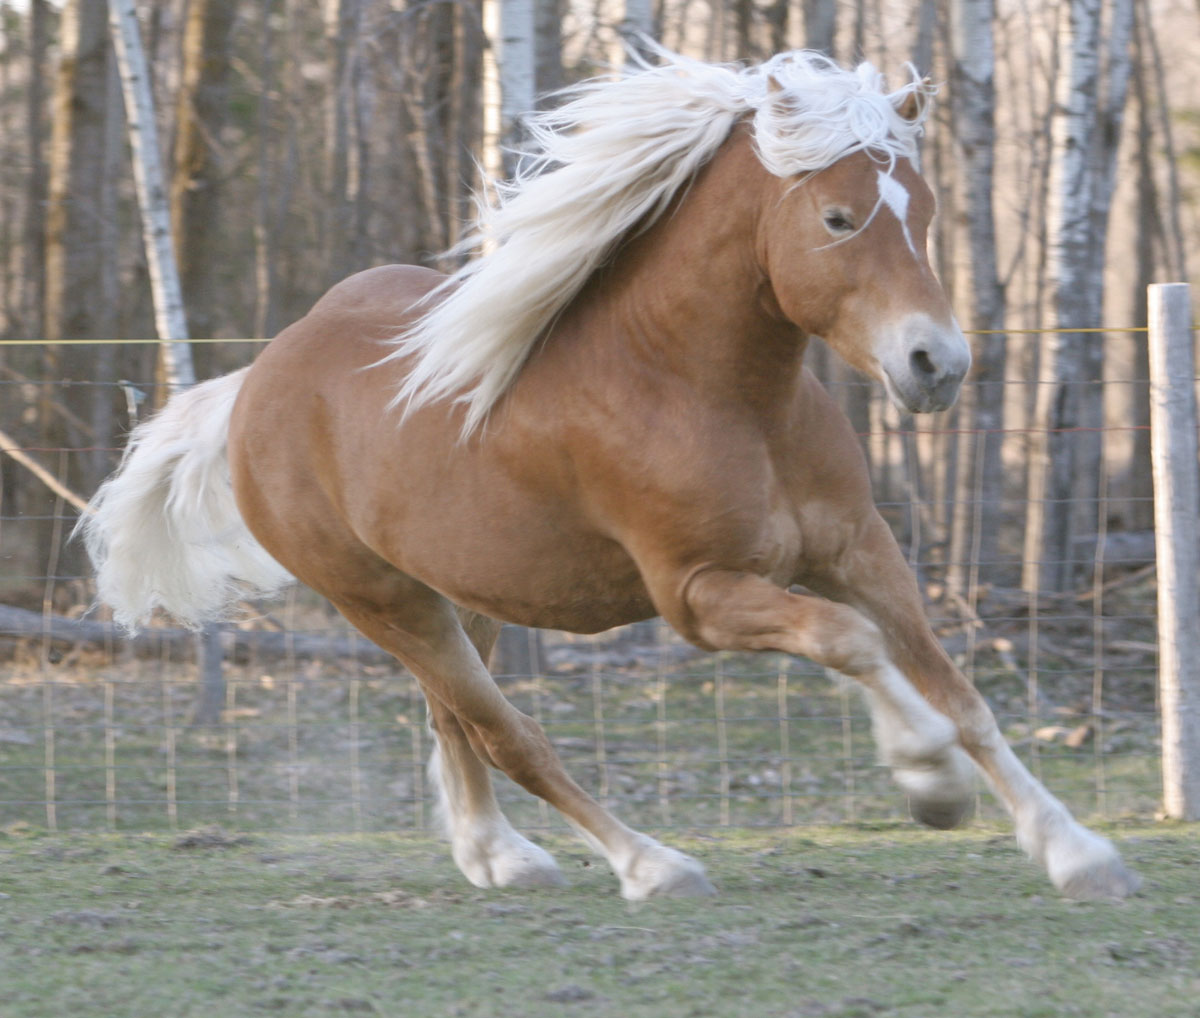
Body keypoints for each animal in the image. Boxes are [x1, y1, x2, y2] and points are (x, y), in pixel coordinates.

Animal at [79, 48, 1138, 901]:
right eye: (839, 217)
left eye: (922, 212)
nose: (936, 366)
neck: (710, 393)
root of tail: (257, 381)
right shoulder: (699, 596)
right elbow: (852, 645)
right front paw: (929, 782)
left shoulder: (859, 551)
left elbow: (962, 696)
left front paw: (1077, 853)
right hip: (383, 603)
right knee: (508, 733)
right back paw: (650, 865)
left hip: (462, 599)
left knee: (454, 721)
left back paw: (498, 857)